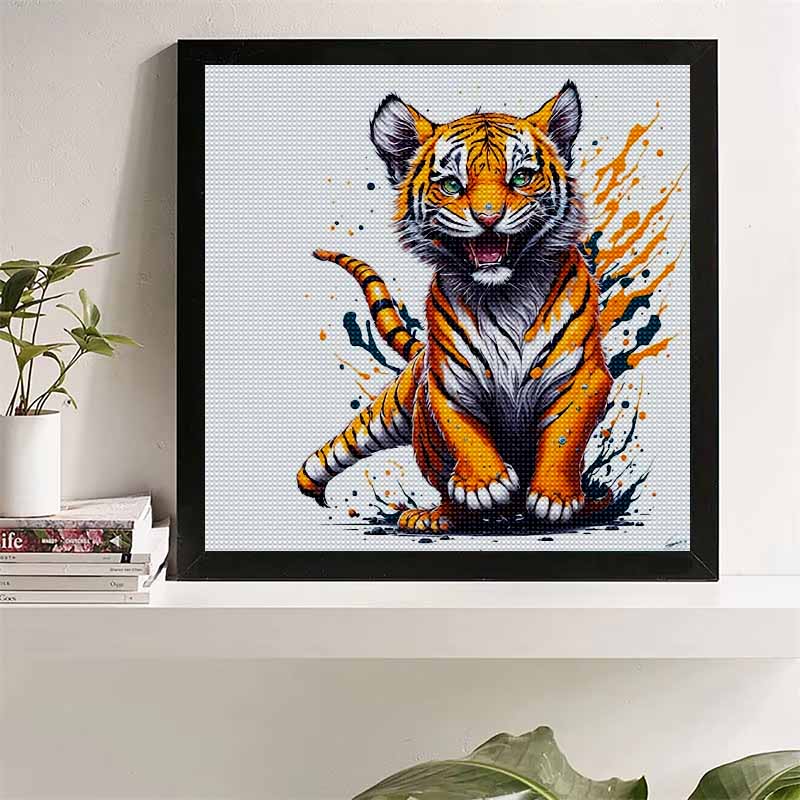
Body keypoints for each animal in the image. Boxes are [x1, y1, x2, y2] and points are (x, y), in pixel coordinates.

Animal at [297, 82, 612, 531]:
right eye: (450, 185)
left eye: (521, 177)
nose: (488, 218)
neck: (505, 295)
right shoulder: (446, 381)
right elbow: (463, 432)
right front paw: (486, 486)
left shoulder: (586, 376)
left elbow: (567, 433)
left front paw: (555, 498)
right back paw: (439, 515)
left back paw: (592, 502)